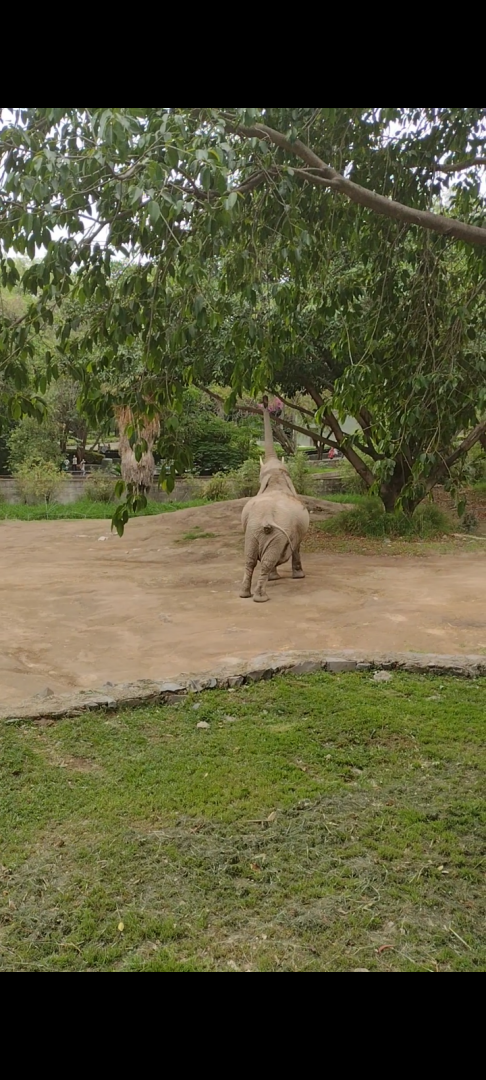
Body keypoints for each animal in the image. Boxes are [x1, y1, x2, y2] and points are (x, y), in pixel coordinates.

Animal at [240, 398, 310, 602]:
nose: (264, 399)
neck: (276, 473)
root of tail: (266, 519)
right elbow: (296, 547)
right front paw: (299, 576)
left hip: (254, 531)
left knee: (250, 559)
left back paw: (245, 595)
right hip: (274, 534)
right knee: (265, 559)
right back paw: (261, 598)